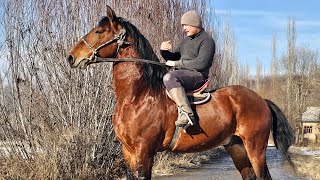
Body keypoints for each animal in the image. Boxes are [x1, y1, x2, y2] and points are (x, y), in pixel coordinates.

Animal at [67, 5, 296, 180]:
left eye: (99, 32)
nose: (71, 57)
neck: (137, 97)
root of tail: (261, 100)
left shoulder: (144, 152)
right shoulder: (128, 152)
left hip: (255, 148)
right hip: (236, 147)